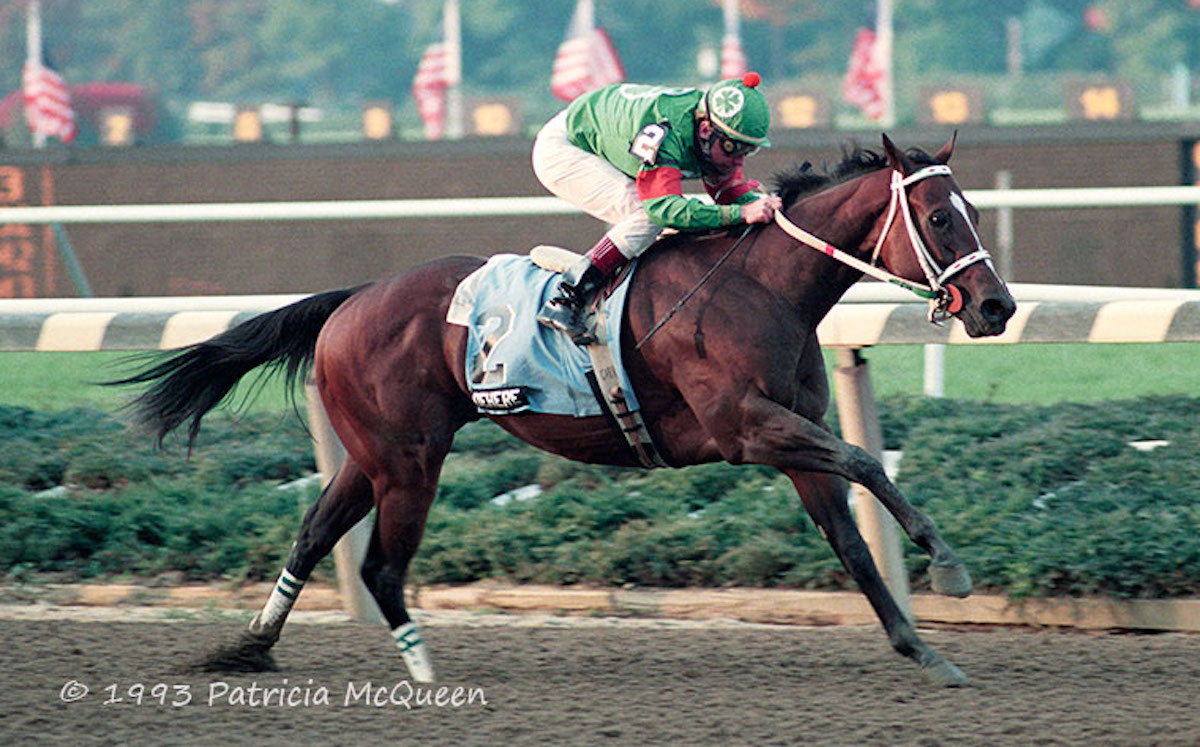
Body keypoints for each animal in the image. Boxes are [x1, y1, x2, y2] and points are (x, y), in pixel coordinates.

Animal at [114, 136, 1012, 691]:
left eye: (970, 210)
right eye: (939, 217)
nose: (997, 305)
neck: (761, 286)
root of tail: (351, 300)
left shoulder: (791, 441)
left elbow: (853, 543)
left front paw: (923, 648)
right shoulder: (746, 427)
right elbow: (863, 462)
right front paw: (948, 565)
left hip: (374, 456)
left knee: (311, 534)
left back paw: (252, 646)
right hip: (409, 459)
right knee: (380, 567)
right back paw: (422, 669)